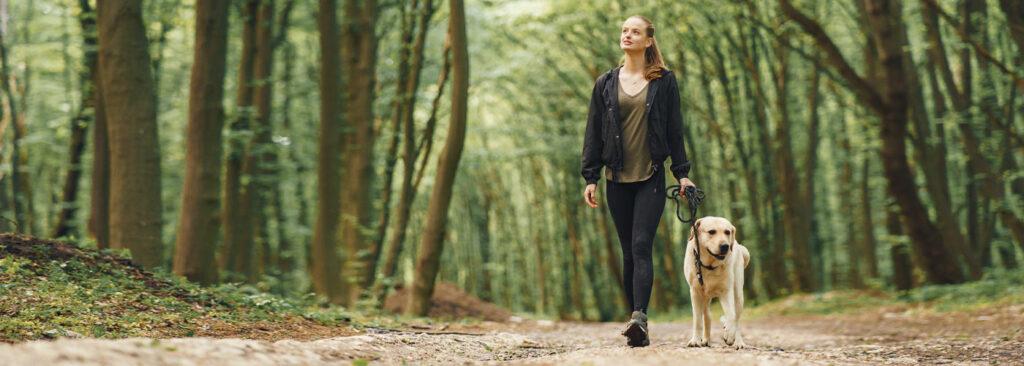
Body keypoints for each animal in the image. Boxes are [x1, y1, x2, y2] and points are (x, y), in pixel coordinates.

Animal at [684, 215, 749, 348]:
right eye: (711, 232)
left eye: (727, 232)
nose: (725, 246)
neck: (709, 266)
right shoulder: (695, 292)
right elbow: (697, 320)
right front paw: (695, 340)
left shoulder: (726, 291)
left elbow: (732, 315)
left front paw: (729, 335)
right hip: (704, 297)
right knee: (707, 316)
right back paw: (706, 340)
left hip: (738, 294)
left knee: (737, 318)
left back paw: (738, 341)